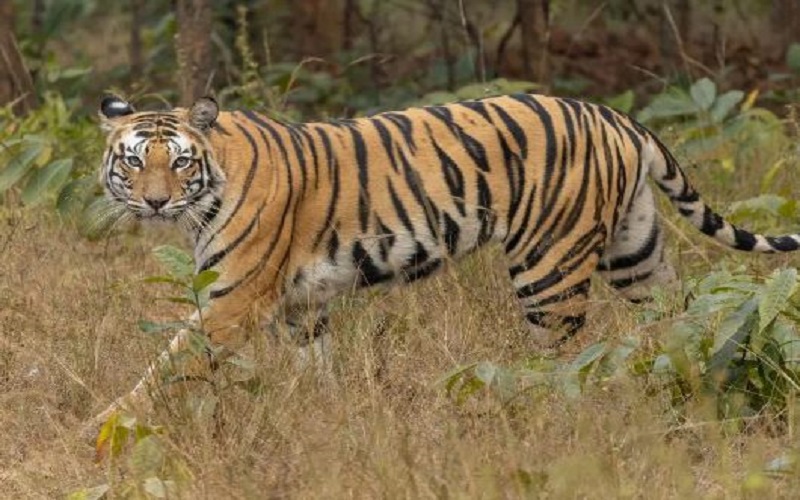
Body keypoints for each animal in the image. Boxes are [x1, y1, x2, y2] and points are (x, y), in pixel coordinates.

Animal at [91, 92, 800, 426]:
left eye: (180, 162)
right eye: (135, 161)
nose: (155, 201)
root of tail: (616, 117)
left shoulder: (232, 300)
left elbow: (163, 370)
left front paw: (101, 428)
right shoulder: (301, 307)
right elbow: (316, 371)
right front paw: (328, 416)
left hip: (549, 268)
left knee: (568, 359)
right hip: (636, 253)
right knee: (683, 320)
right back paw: (690, 381)